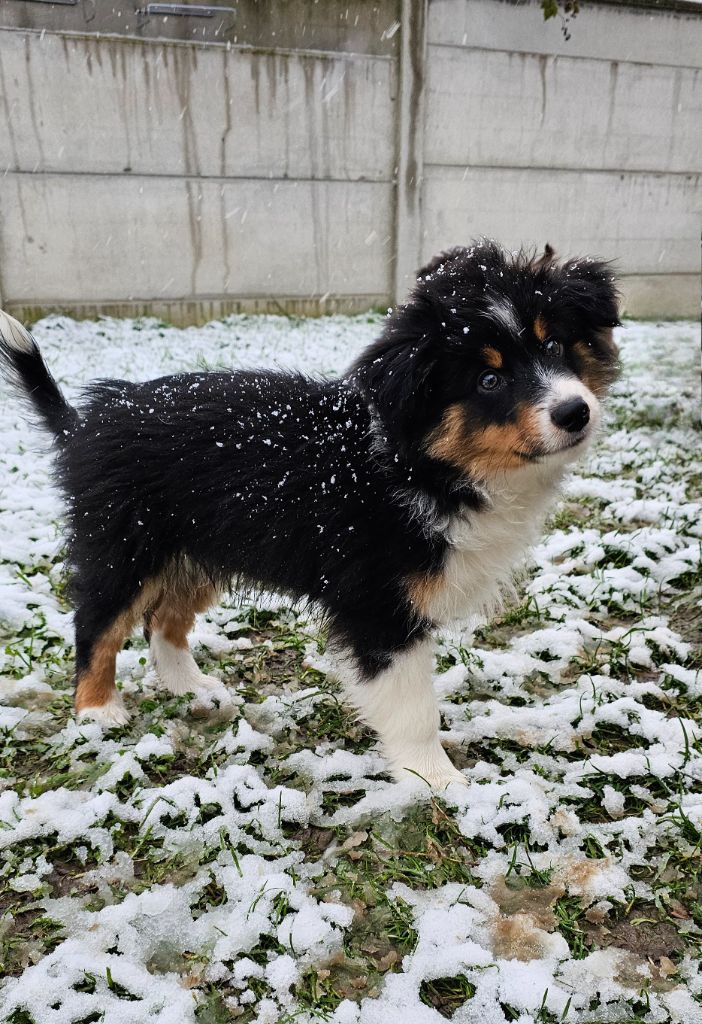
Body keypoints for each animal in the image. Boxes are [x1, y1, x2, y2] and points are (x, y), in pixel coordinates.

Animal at [2, 243, 622, 786]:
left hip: (201, 546)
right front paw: (442, 783)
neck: (424, 467)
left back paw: (193, 689)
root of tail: (85, 422)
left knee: (165, 620)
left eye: (556, 346)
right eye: (489, 380)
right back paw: (97, 710)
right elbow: (413, 709)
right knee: (97, 623)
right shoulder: (379, 606)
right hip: (124, 543)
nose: (575, 413)